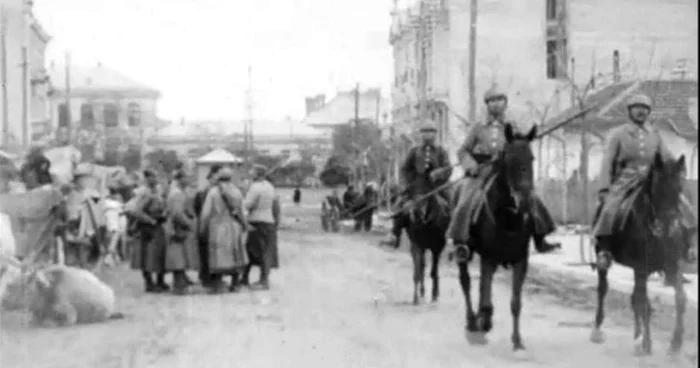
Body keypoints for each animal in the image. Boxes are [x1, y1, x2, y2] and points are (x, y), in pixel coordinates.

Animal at [456, 124, 540, 350]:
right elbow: (485, 296)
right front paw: (484, 321)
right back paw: (472, 320)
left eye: (532, 158)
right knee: (466, 282)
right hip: (463, 251)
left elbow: (515, 303)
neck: (508, 217)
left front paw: (517, 340)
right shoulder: (489, 258)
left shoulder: (521, 261)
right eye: (510, 159)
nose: (525, 201)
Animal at [592, 152, 688, 356]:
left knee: (634, 296)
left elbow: (680, 299)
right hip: (604, 258)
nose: (668, 228)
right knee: (603, 289)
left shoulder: (672, 266)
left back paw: (637, 334)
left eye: (679, 188)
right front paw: (646, 344)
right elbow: (644, 303)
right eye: (657, 187)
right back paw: (598, 329)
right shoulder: (641, 268)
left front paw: (675, 343)